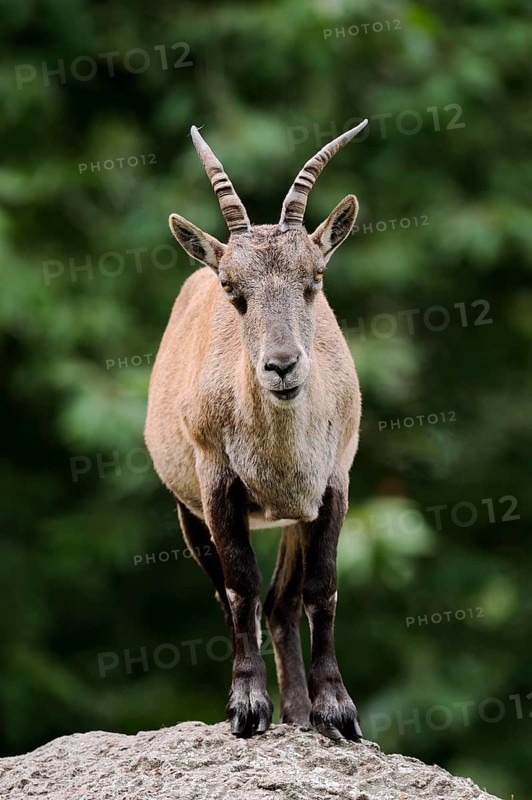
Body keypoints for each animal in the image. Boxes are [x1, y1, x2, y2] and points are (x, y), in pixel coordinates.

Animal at [145, 119, 368, 740]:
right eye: (232, 288)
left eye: (315, 277)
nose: (282, 365)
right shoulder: (216, 483)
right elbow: (239, 583)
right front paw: (246, 706)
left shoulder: (331, 483)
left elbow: (322, 588)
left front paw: (337, 711)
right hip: (189, 510)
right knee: (233, 597)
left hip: (294, 517)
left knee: (282, 602)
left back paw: (300, 714)